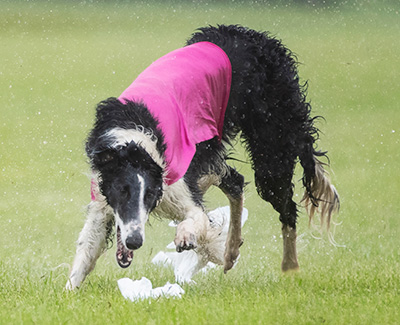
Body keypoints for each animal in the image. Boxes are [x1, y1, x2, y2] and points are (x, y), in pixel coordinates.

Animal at [65, 24, 338, 288]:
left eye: (150, 195)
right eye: (122, 191)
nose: (134, 242)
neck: (136, 142)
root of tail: (261, 39)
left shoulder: (180, 185)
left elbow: (197, 218)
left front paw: (187, 236)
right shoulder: (102, 200)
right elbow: (85, 251)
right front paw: (71, 289)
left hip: (272, 148)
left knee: (286, 208)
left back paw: (289, 266)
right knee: (235, 181)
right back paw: (230, 252)